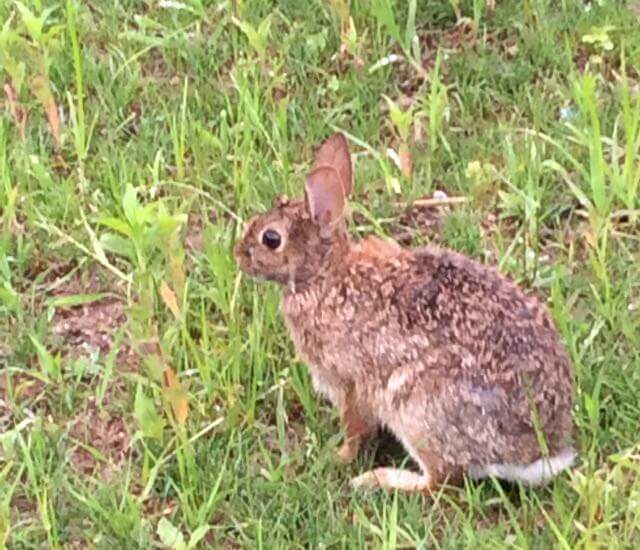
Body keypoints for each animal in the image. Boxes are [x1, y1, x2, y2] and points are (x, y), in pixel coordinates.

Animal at [234, 132, 576, 493]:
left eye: (271, 238)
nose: (238, 254)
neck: (324, 276)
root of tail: (536, 455)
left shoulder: (350, 382)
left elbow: (355, 428)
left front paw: (338, 457)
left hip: (418, 410)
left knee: (440, 479)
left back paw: (378, 479)